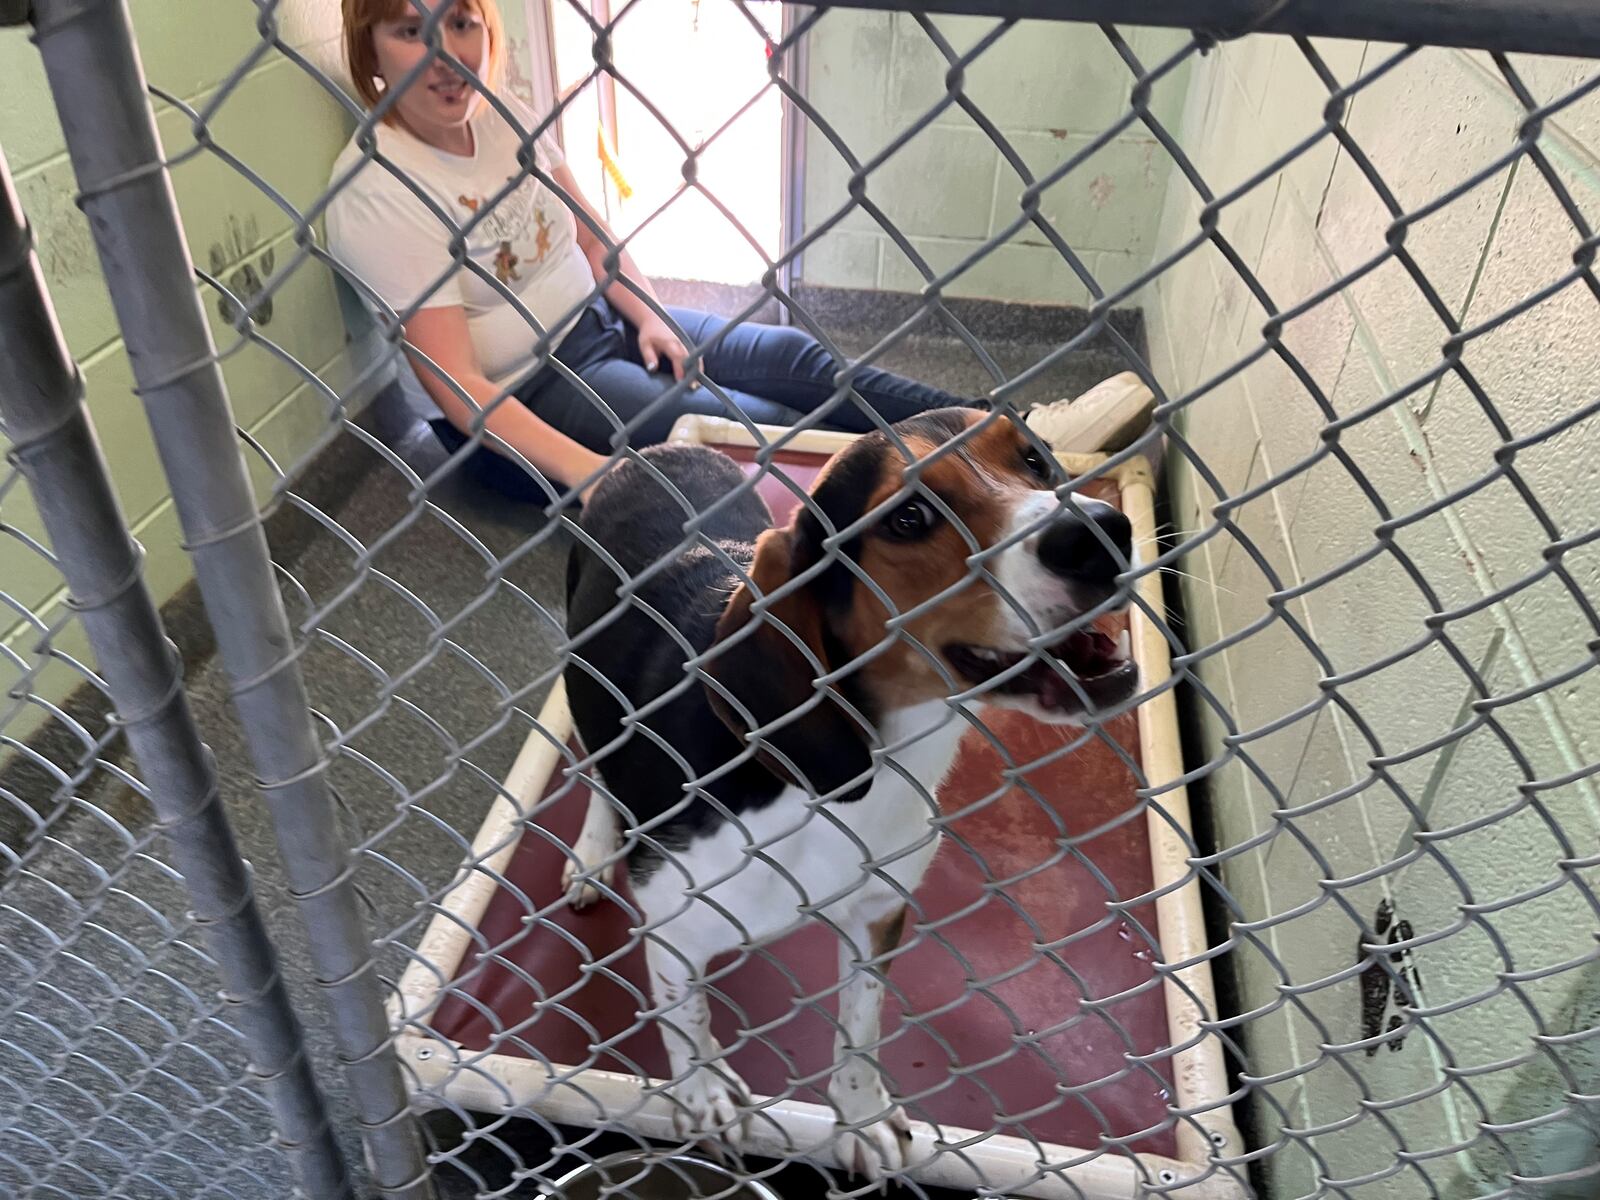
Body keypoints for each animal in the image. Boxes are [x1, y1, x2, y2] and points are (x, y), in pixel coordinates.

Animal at [563, 409, 1139, 1177]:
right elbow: (687, 1020)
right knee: (593, 759)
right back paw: (594, 850)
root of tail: (658, 448)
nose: (1101, 531)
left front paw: (860, 1115)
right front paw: (706, 1092)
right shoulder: (673, 928)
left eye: (1035, 459)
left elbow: (861, 1027)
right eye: (910, 518)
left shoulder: (878, 912)